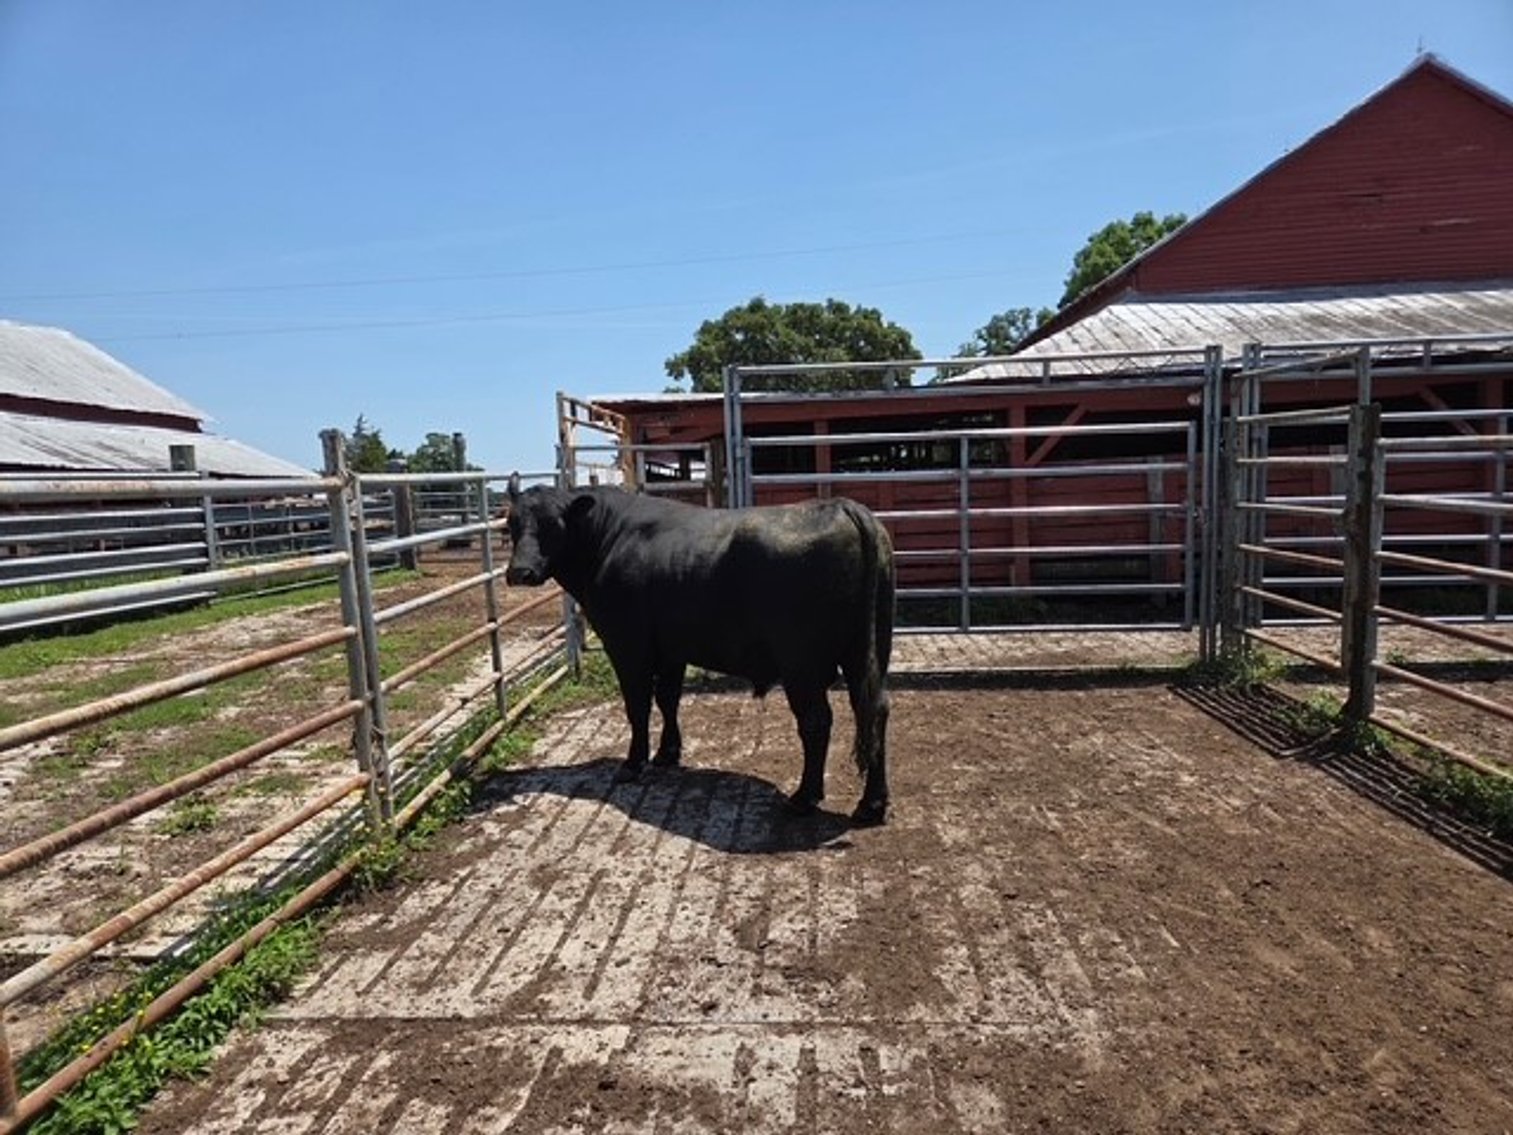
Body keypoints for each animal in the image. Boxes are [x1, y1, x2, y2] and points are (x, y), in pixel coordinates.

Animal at [504, 478, 894, 825]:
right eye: (511, 523)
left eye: (554, 524)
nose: (520, 572)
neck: (608, 537)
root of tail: (844, 507)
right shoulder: (672, 648)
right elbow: (668, 699)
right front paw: (667, 753)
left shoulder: (627, 644)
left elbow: (638, 706)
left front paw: (632, 763)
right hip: (866, 655)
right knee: (874, 710)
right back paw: (871, 805)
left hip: (801, 663)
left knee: (816, 721)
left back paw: (803, 798)